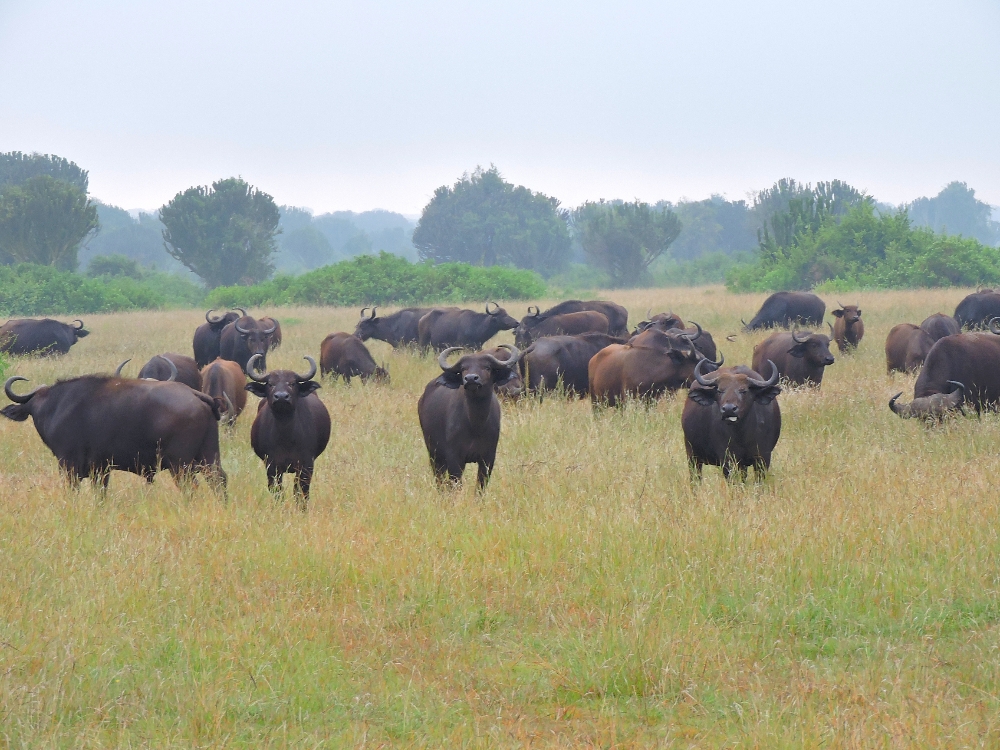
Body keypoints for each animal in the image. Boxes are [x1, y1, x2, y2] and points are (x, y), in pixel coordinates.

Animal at [1, 376, 225, 494]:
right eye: (34, 407)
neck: (55, 407)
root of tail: (195, 395)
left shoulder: (69, 465)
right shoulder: (101, 469)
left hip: (180, 464)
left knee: (191, 486)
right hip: (209, 456)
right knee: (219, 479)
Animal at [246, 356, 332, 508]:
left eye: (292, 383)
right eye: (270, 384)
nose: (281, 397)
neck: (286, 436)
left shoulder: (306, 465)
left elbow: (301, 492)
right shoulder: (272, 466)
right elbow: (277, 491)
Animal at [416, 346, 524, 490]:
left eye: (487, 367)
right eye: (463, 368)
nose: (471, 378)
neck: (476, 425)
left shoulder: (488, 459)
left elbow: (480, 486)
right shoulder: (454, 458)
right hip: (434, 454)